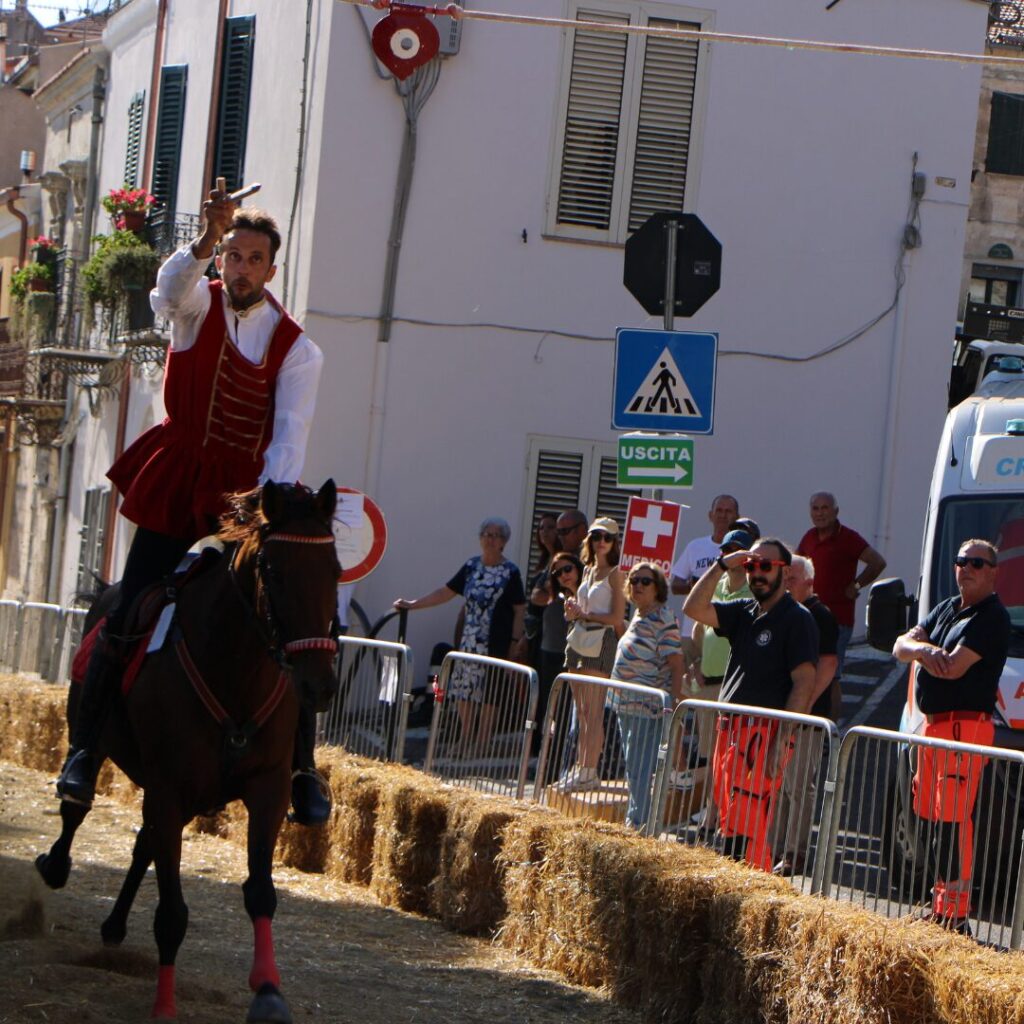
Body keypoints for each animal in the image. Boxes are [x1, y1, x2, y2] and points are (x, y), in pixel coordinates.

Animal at [35, 480, 341, 1022]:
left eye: (336, 571)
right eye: (274, 571)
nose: (319, 685)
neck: (234, 668)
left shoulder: (265, 788)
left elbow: (260, 892)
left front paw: (268, 992)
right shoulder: (169, 789)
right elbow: (172, 912)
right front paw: (164, 1004)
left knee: (144, 845)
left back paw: (114, 924)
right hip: (100, 746)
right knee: (77, 806)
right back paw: (57, 862)